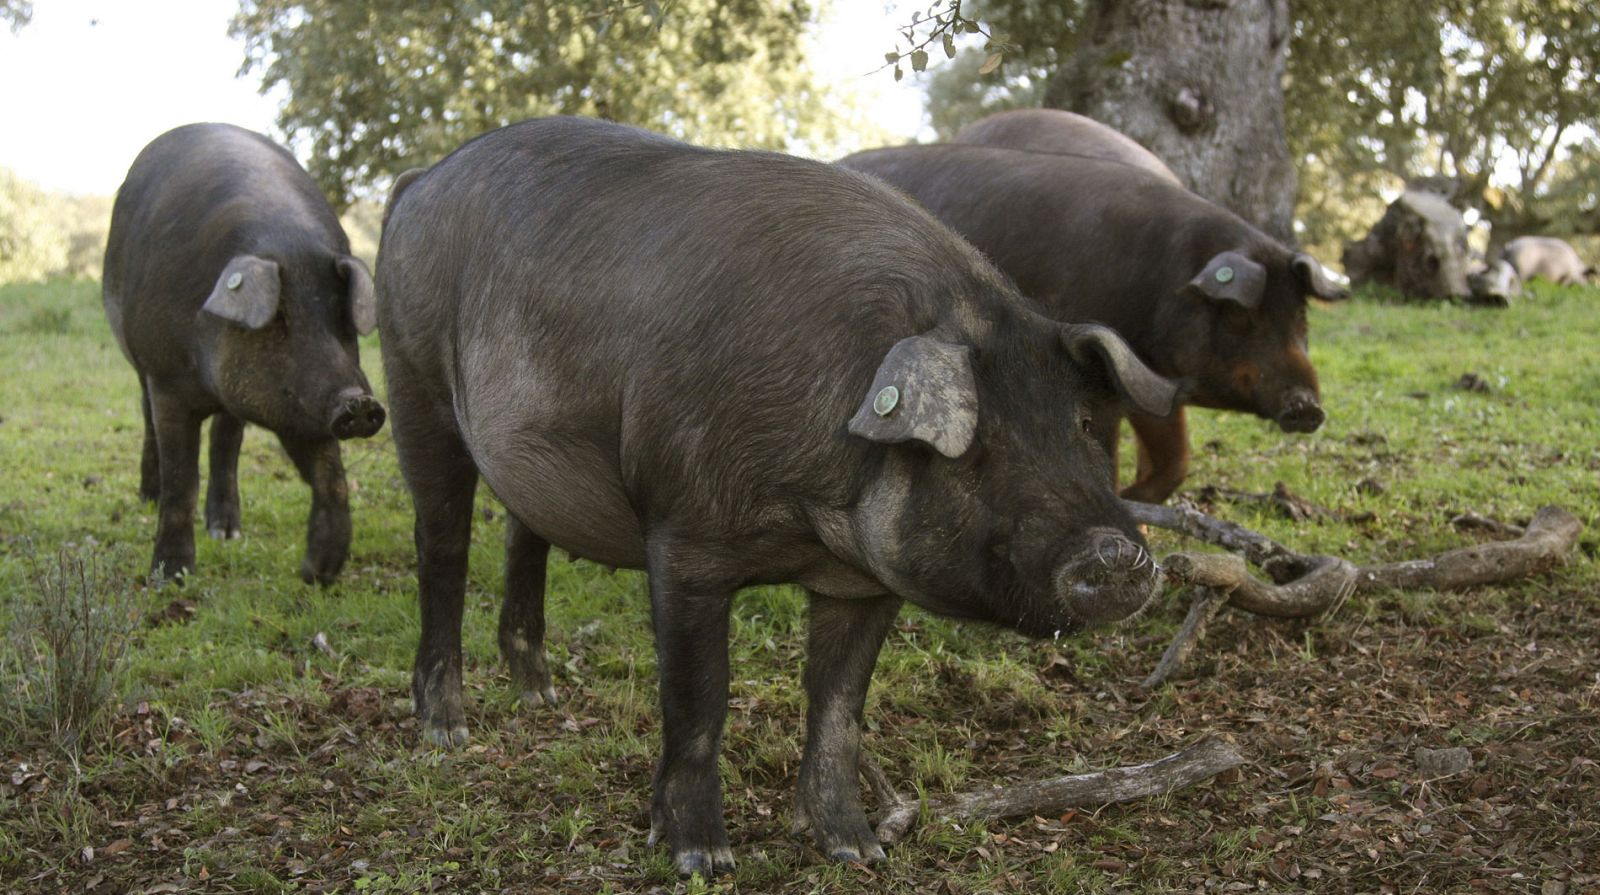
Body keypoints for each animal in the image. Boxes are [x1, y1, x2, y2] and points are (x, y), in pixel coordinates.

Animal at [102, 123, 386, 583]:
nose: (359, 403)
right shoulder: (167, 380)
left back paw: (226, 532)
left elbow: (331, 475)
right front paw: (169, 577)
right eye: (279, 318)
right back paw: (148, 497)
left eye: (340, 317)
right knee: (148, 421)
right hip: (139, 362)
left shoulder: (299, 403)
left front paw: (317, 573)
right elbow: (181, 479)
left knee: (226, 437)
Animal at [377, 117, 1182, 875]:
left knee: (524, 532)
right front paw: (702, 859)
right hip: (413, 380)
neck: (807, 523)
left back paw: (541, 698)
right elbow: (700, 699)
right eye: (975, 443)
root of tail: (421, 179)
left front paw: (858, 851)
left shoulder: (862, 582)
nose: (1114, 552)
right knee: (441, 543)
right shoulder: (683, 539)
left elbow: (839, 708)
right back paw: (447, 731)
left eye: (1083, 425)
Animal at [837, 143, 1348, 504]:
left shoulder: (1155, 383)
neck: (1165, 282)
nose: (1308, 407)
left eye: (1300, 315)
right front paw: (1126, 500)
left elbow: (1175, 459)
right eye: (1241, 315)